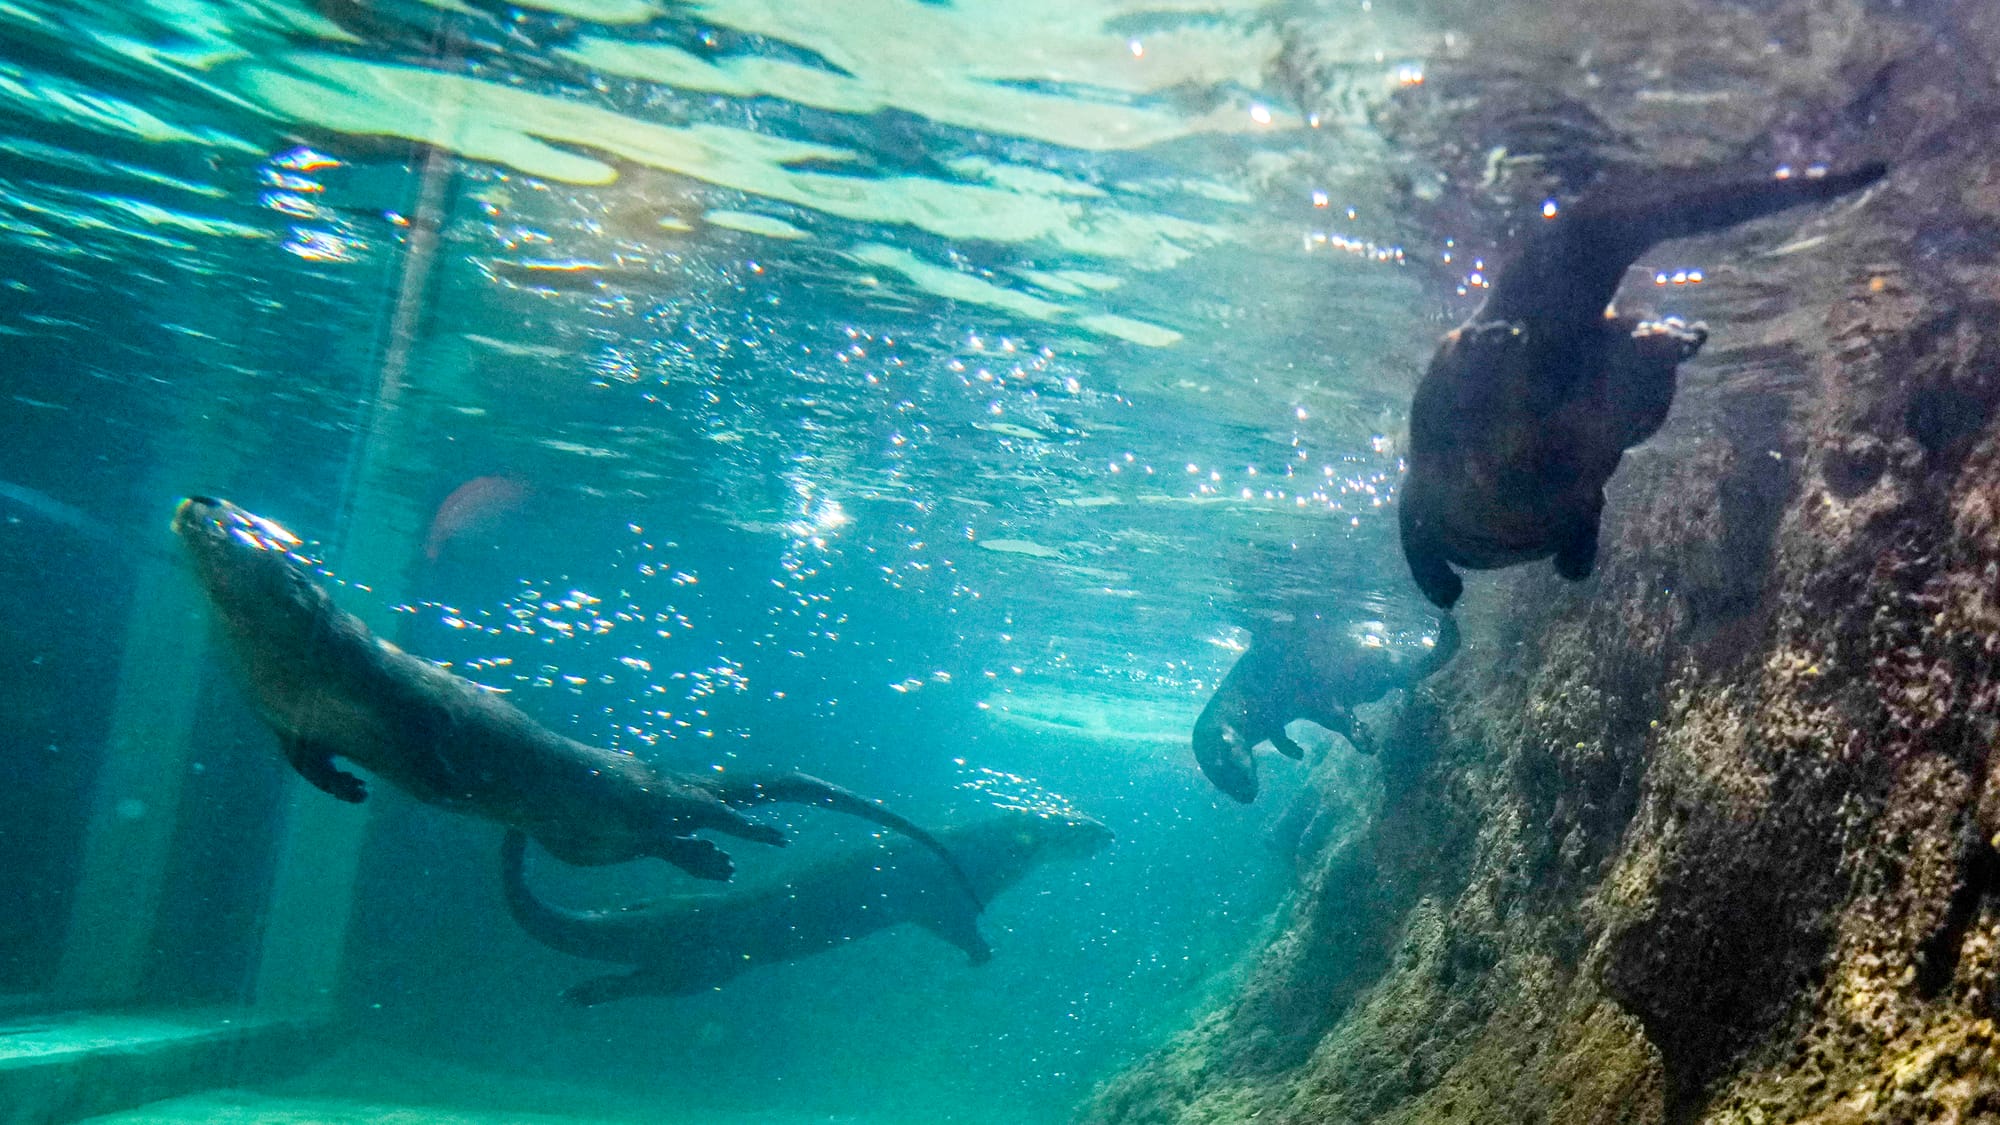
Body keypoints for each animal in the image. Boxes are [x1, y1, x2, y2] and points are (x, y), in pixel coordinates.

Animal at [171, 496, 978, 901]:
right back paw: (709, 863)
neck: (300, 673)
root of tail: (653, 766)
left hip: (627, 789)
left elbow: (440, 732)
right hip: (583, 841)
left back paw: (757, 834)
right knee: (658, 837)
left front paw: (435, 774)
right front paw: (345, 787)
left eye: (243, 529)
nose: (202, 498)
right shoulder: (280, 718)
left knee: (699, 803)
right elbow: (304, 760)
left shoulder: (408, 694)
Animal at [501, 808, 1113, 1005]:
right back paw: (582, 993)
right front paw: (981, 953)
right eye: (1068, 825)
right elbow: (959, 926)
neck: (978, 848)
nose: (1104, 830)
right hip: (704, 965)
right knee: (644, 981)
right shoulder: (942, 895)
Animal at [1194, 612, 1459, 802]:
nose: (1245, 797)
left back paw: (1366, 738)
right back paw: (1425, 695)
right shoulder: (1272, 722)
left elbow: (1336, 714)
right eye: (1218, 781)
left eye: (1224, 766)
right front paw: (1296, 751)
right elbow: (1279, 737)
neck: (1243, 703)